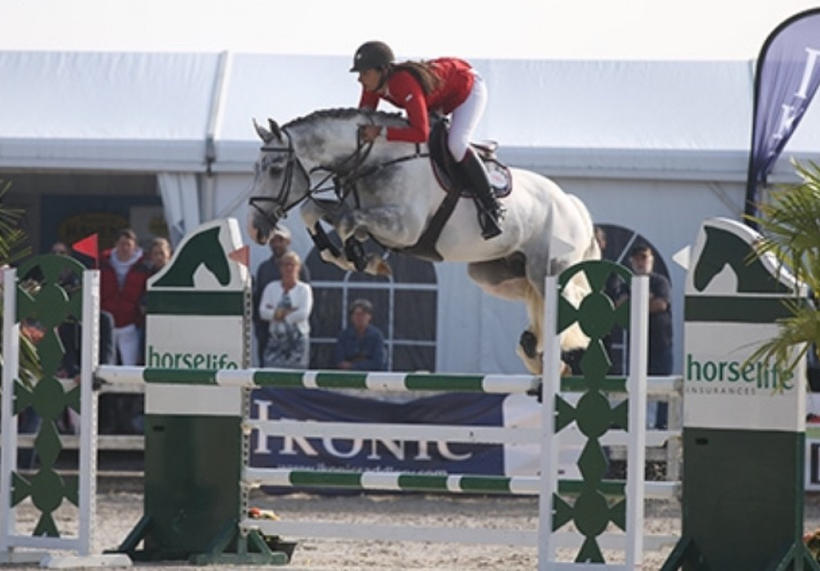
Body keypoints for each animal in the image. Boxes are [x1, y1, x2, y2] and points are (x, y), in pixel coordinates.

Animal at [247, 108, 600, 376]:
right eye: (257, 168)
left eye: (276, 169)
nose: (254, 230)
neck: (375, 160)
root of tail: (571, 203)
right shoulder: (360, 211)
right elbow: (313, 211)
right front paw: (352, 256)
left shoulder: (405, 228)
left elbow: (348, 222)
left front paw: (358, 256)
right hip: (494, 273)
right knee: (536, 299)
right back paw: (533, 348)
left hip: (547, 269)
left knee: (571, 297)